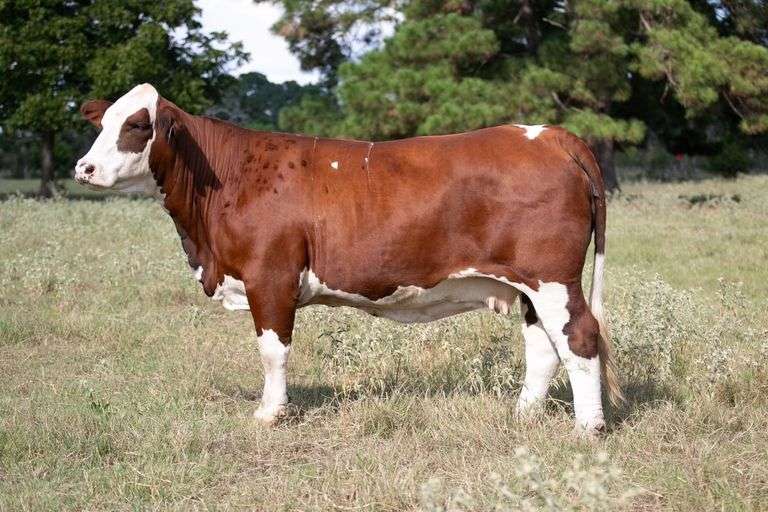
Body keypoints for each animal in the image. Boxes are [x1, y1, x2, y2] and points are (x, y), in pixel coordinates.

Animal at [75, 83, 622, 436]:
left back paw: (587, 427)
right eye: (101, 123)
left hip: (551, 277)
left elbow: (273, 350)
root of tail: (549, 134)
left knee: (579, 336)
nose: (85, 167)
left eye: (137, 125)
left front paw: (270, 413)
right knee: (544, 344)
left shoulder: (269, 277)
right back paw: (523, 414)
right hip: (528, 284)